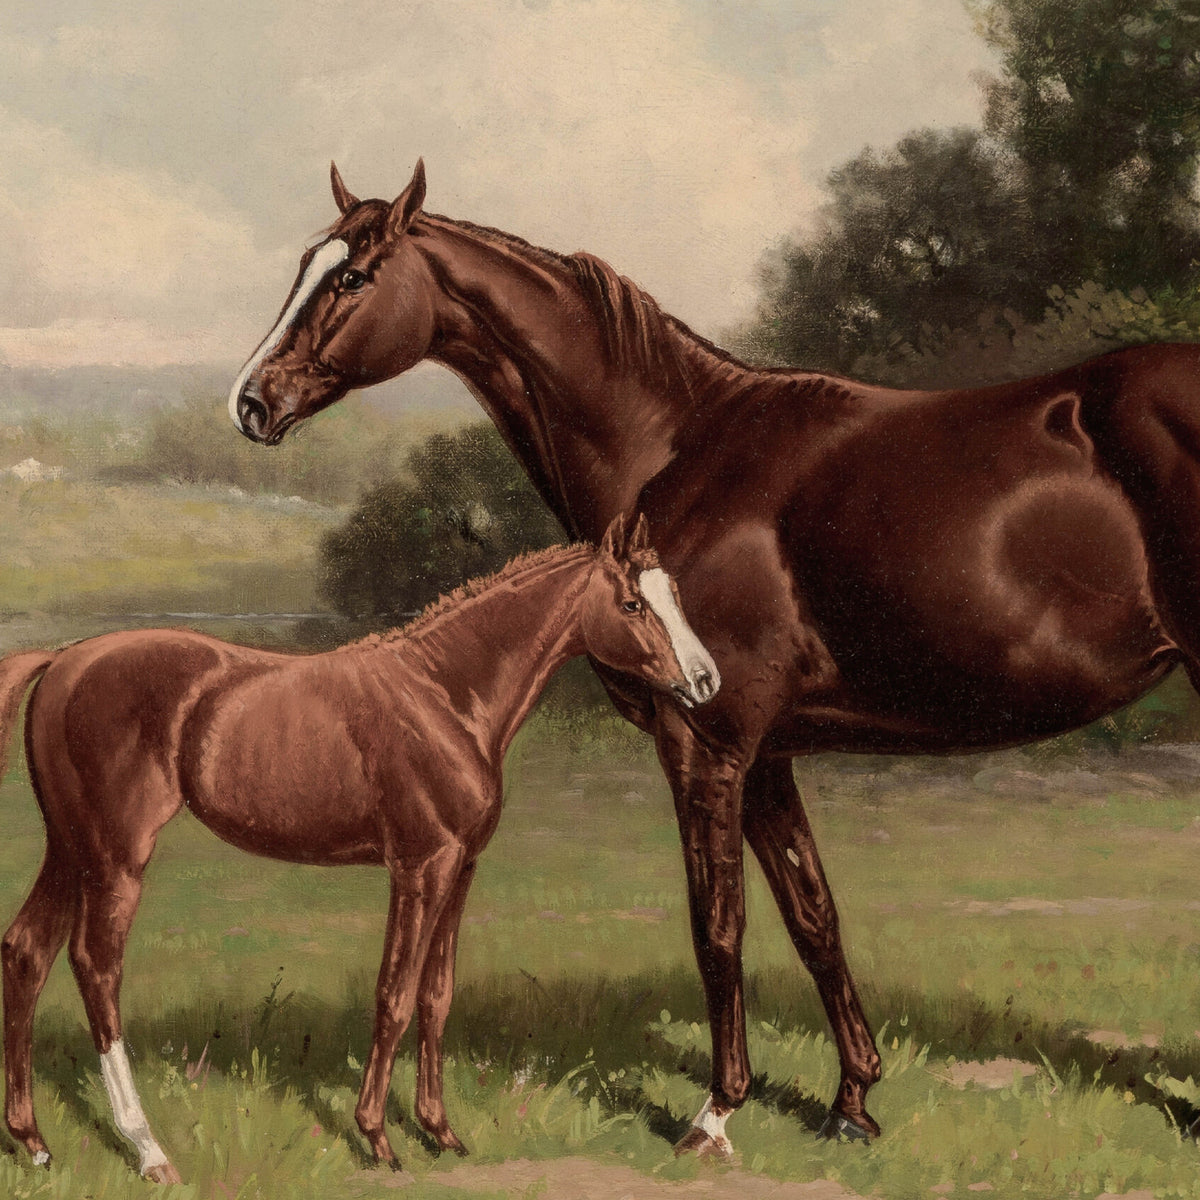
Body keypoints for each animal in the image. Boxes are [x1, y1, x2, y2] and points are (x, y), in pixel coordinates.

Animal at [0, 515, 719, 1181]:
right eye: (632, 603)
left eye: (677, 594)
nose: (707, 681)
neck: (445, 695)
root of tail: (62, 660)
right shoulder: (419, 868)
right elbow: (394, 995)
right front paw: (378, 1139)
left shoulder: (461, 869)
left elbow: (436, 995)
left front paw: (441, 1133)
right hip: (116, 856)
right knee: (97, 966)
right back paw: (148, 1150)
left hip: (71, 849)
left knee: (27, 950)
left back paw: (35, 1143)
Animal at [229, 159, 1200, 1156]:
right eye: (308, 264)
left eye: (352, 277)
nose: (253, 402)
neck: (677, 444)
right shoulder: (765, 756)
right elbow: (813, 918)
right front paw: (852, 1102)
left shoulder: (706, 742)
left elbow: (717, 927)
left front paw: (715, 1113)